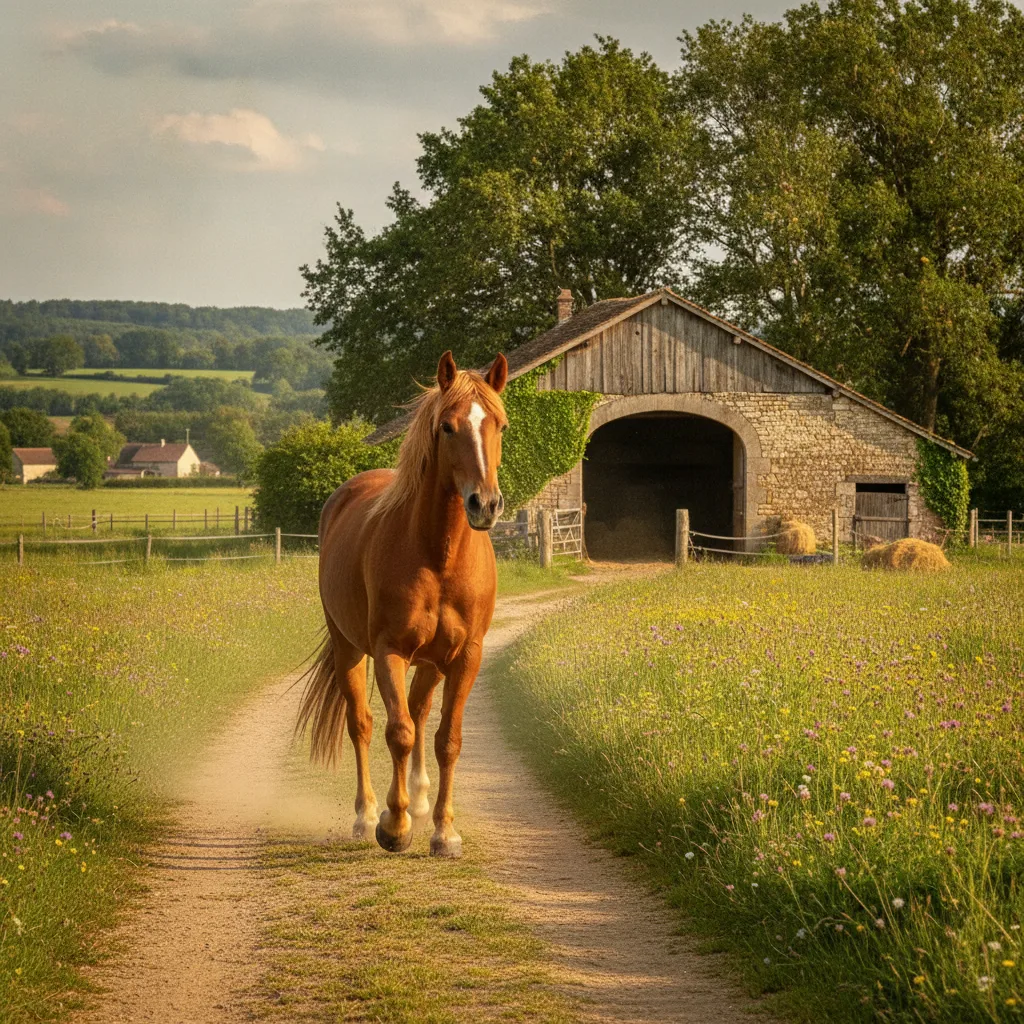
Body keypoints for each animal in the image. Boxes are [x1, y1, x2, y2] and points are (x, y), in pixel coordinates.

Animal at [297, 350, 508, 858]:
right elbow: (399, 732)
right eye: (448, 427)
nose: (485, 504)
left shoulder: (466, 656)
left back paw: (420, 798)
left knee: (419, 710)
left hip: (431, 662)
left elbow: (446, 739)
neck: (437, 555)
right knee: (363, 723)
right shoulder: (389, 651)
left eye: (501, 425)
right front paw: (394, 827)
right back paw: (367, 814)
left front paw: (444, 831)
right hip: (348, 649)